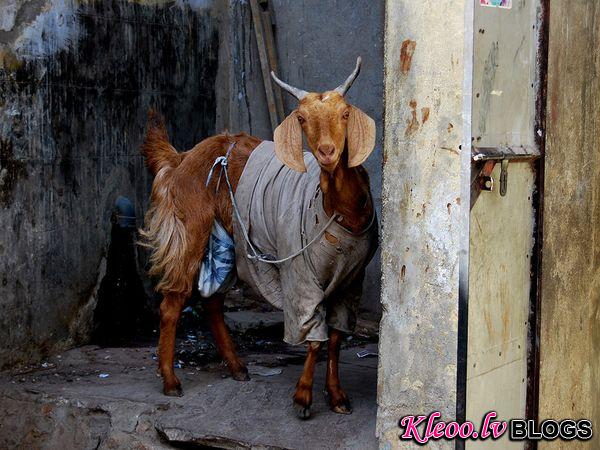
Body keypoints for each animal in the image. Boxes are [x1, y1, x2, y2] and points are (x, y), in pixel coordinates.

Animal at [141, 58, 376, 420]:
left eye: (345, 113)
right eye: (301, 118)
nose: (327, 152)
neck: (337, 211)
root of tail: (182, 159)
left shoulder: (352, 280)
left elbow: (337, 337)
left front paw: (337, 396)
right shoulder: (300, 276)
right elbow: (313, 336)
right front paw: (303, 398)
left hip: (229, 239)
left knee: (213, 301)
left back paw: (237, 366)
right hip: (191, 228)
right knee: (173, 301)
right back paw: (170, 380)